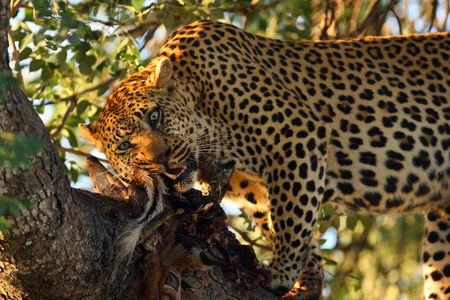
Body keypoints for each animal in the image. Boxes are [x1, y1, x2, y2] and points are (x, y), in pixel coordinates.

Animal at [79, 19, 450, 298]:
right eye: (125, 146)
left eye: (155, 116)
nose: (163, 158)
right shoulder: (251, 186)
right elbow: (285, 219)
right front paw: (306, 282)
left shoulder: (296, 135)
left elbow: (292, 217)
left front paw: (281, 273)